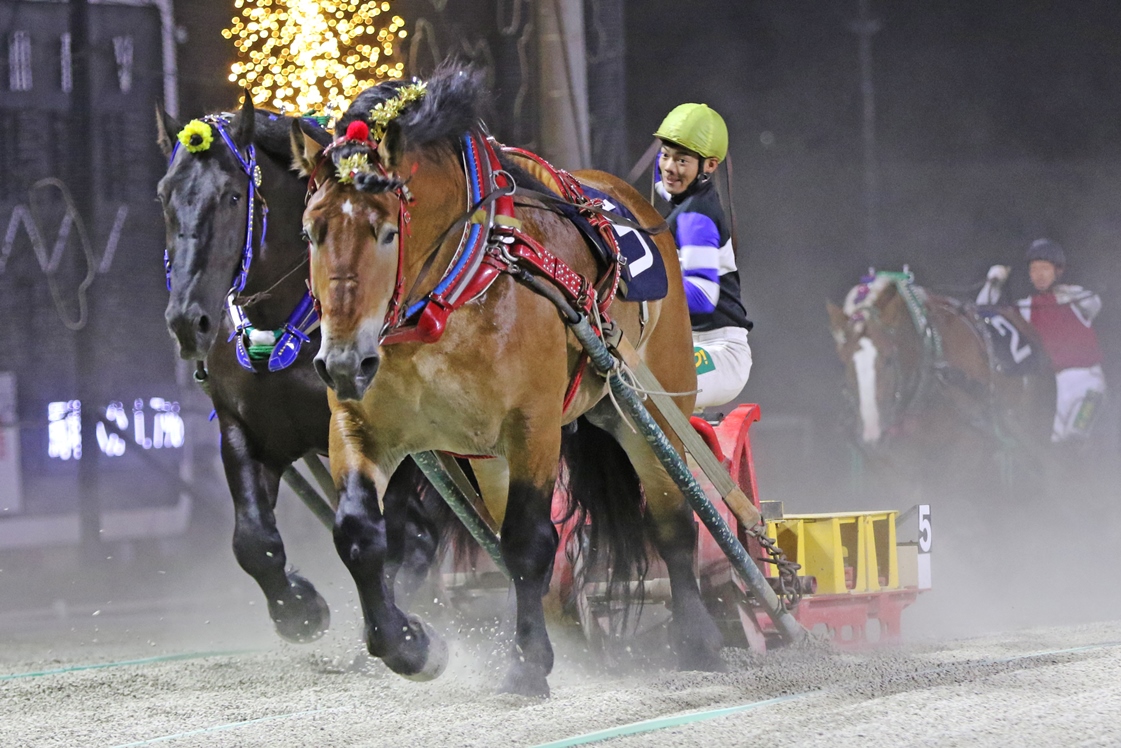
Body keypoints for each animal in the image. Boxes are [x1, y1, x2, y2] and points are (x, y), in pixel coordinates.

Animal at [154, 95, 450, 645]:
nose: (188, 321)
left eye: (232, 197)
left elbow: (394, 540)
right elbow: (254, 541)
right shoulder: (247, 428)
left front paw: (401, 636)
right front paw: (299, 607)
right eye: (165, 194)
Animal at [291, 67, 726, 699]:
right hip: (495, 456)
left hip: (648, 411)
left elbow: (529, 543)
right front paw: (411, 646)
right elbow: (358, 534)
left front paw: (527, 666)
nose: (343, 361)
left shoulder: (534, 425)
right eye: (311, 233)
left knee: (671, 520)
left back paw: (696, 638)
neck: (449, 294)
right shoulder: (362, 425)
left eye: (386, 232)